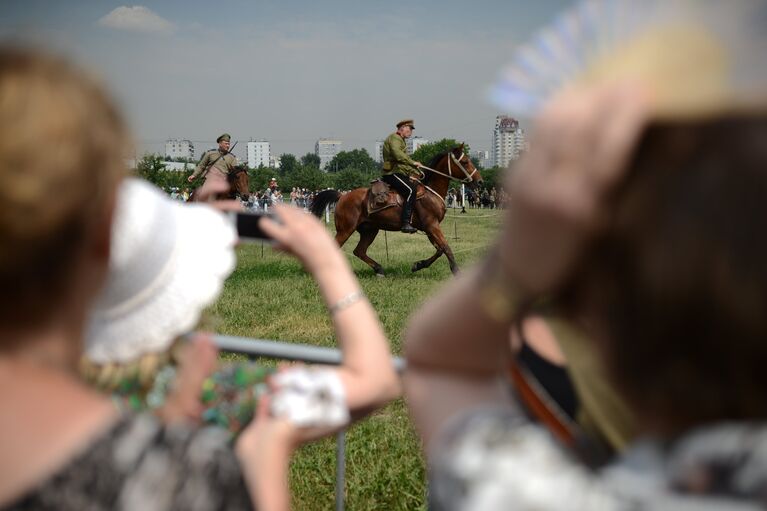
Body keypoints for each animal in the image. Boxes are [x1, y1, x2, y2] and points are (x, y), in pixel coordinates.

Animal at [308, 145, 484, 276]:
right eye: (465, 162)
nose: (480, 182)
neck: (430, 192)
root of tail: (342, 196)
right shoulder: (432, 226)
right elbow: (446, 247)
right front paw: (456, 270)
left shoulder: (429, 228)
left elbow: (440, 249)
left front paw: (418, 265)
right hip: (345, 230)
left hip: (370, 230)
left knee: (359, 251)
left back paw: (379, 269)